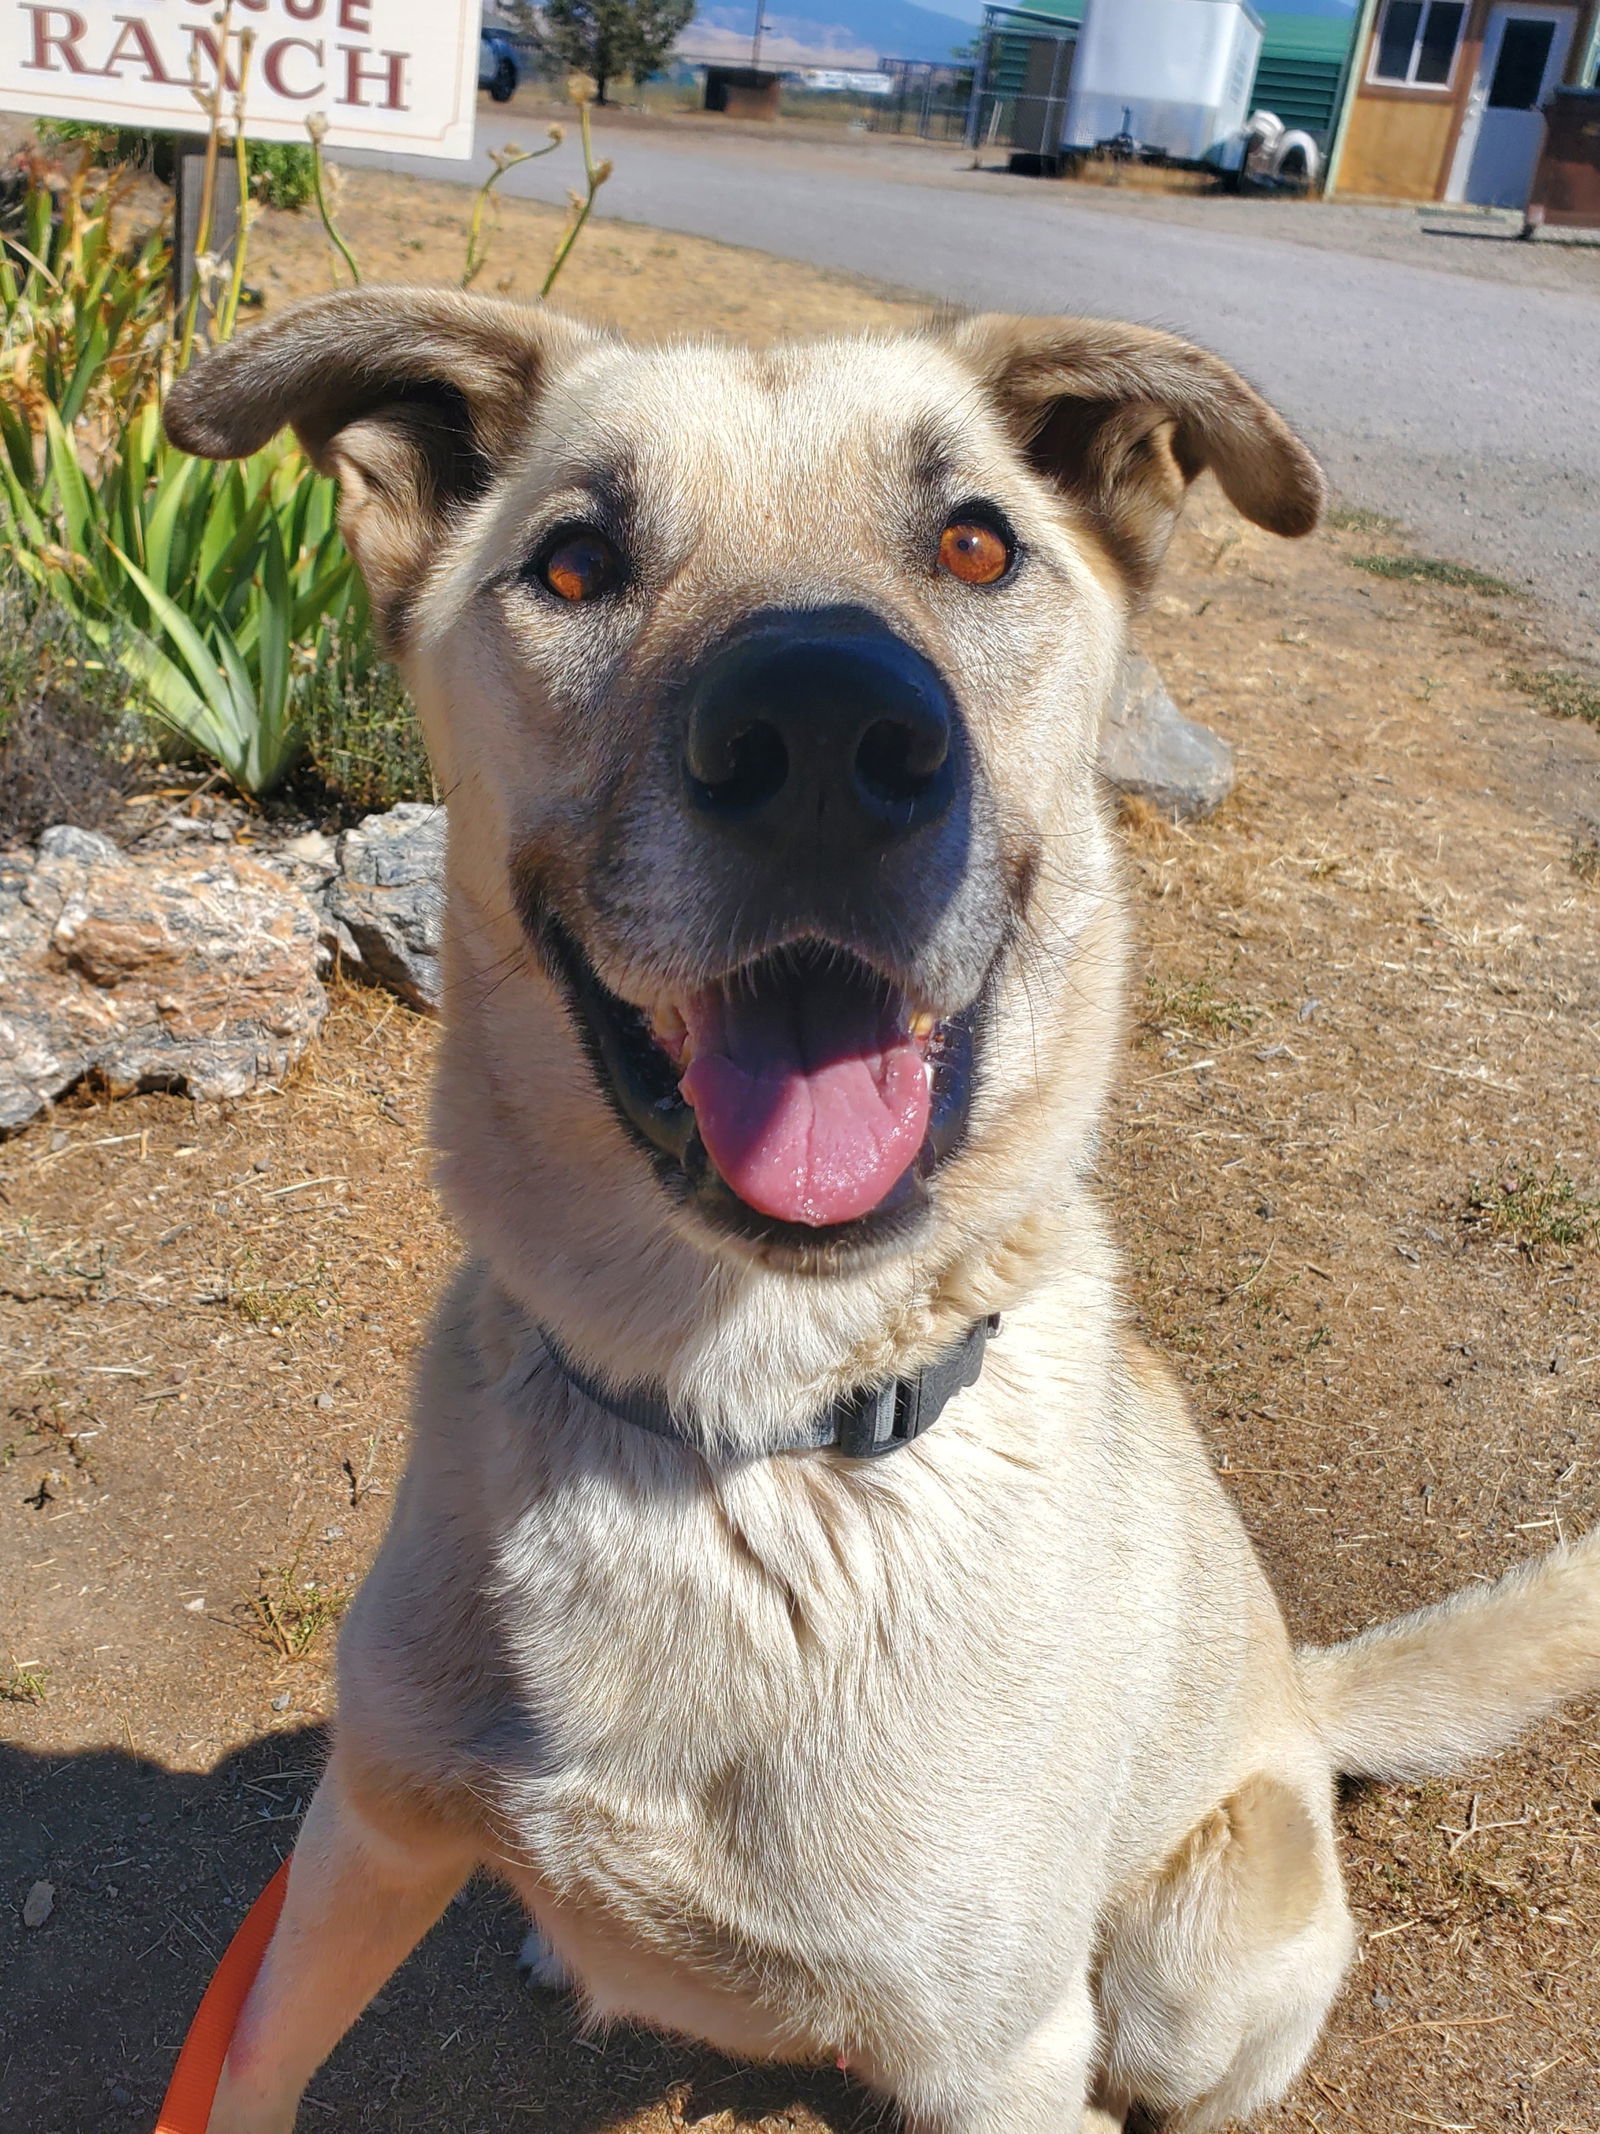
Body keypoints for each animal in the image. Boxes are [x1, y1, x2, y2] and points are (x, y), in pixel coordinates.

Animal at [166, 300, 1600, 2134]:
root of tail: (1301, 1682)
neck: (733, 1433)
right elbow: (258, 2057)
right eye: (575, 562)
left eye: (976, 542)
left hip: (1193, 1961)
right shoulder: (364, 1837)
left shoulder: (1006, 2059)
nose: (825, 741)